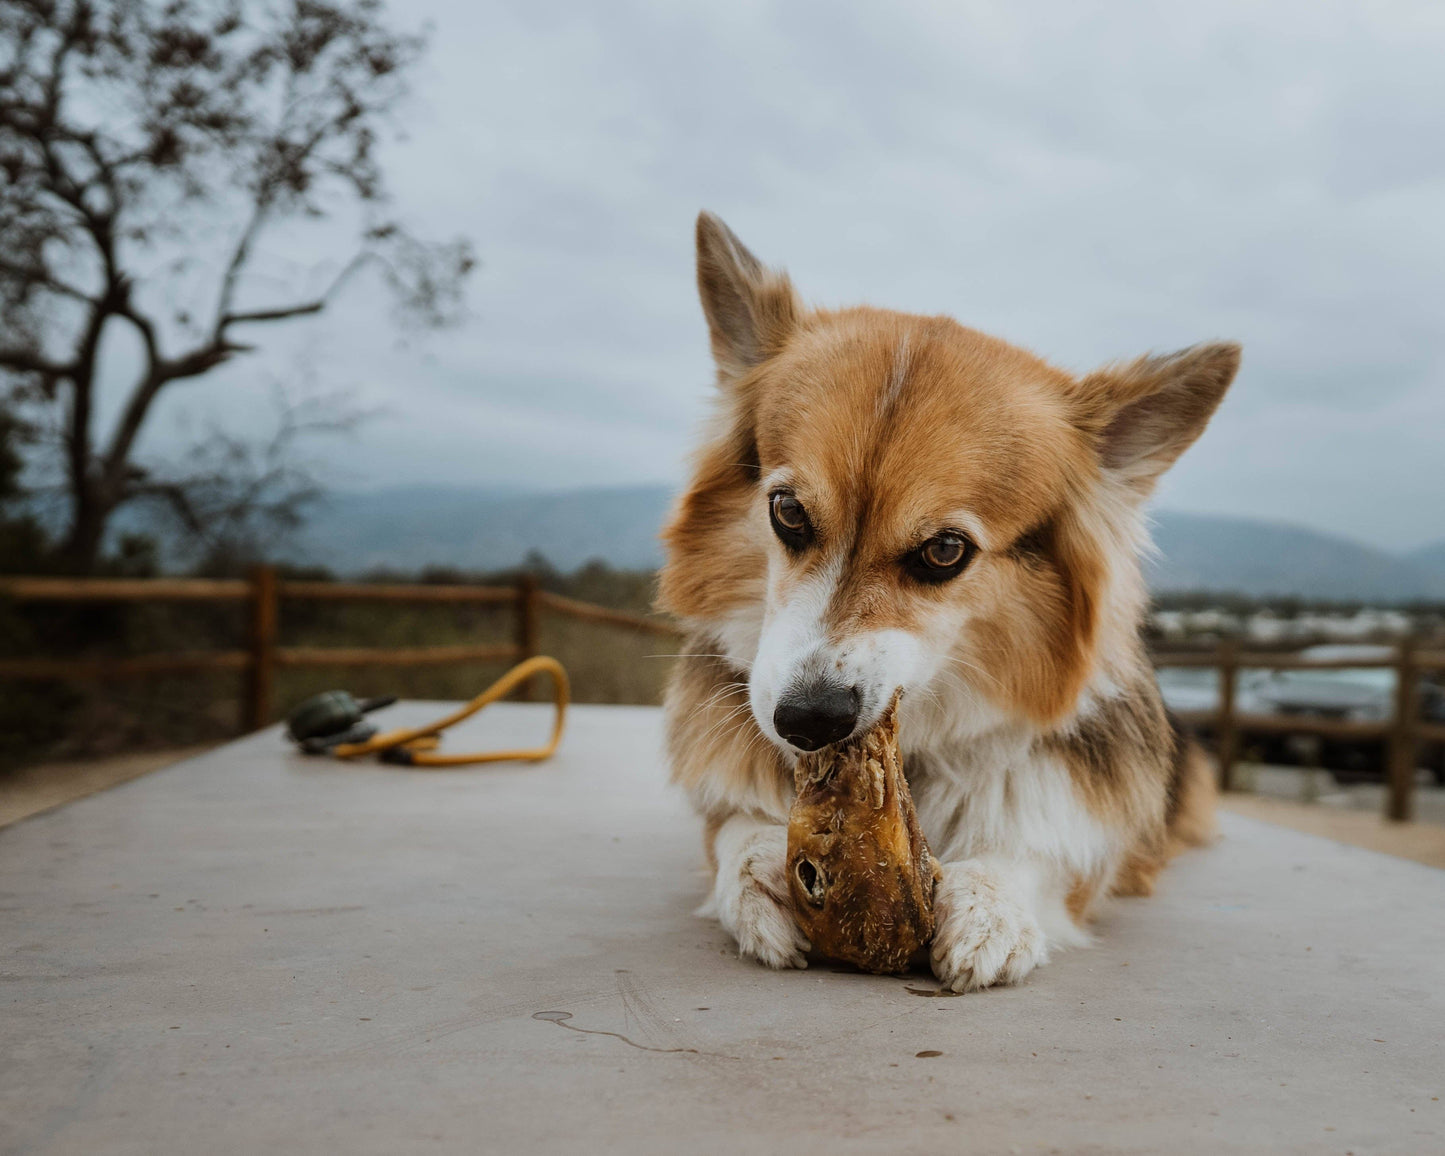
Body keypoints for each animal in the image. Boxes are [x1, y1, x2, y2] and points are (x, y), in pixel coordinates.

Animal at [661, 212, 1236, 988]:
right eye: (787, 512)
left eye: (943, 552)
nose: (806, 722)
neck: (922, 747)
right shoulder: (725, 808)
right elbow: (734, 831)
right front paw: (759, 879)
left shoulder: (1090, 851)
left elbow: (1033, 856)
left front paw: (991, 904)